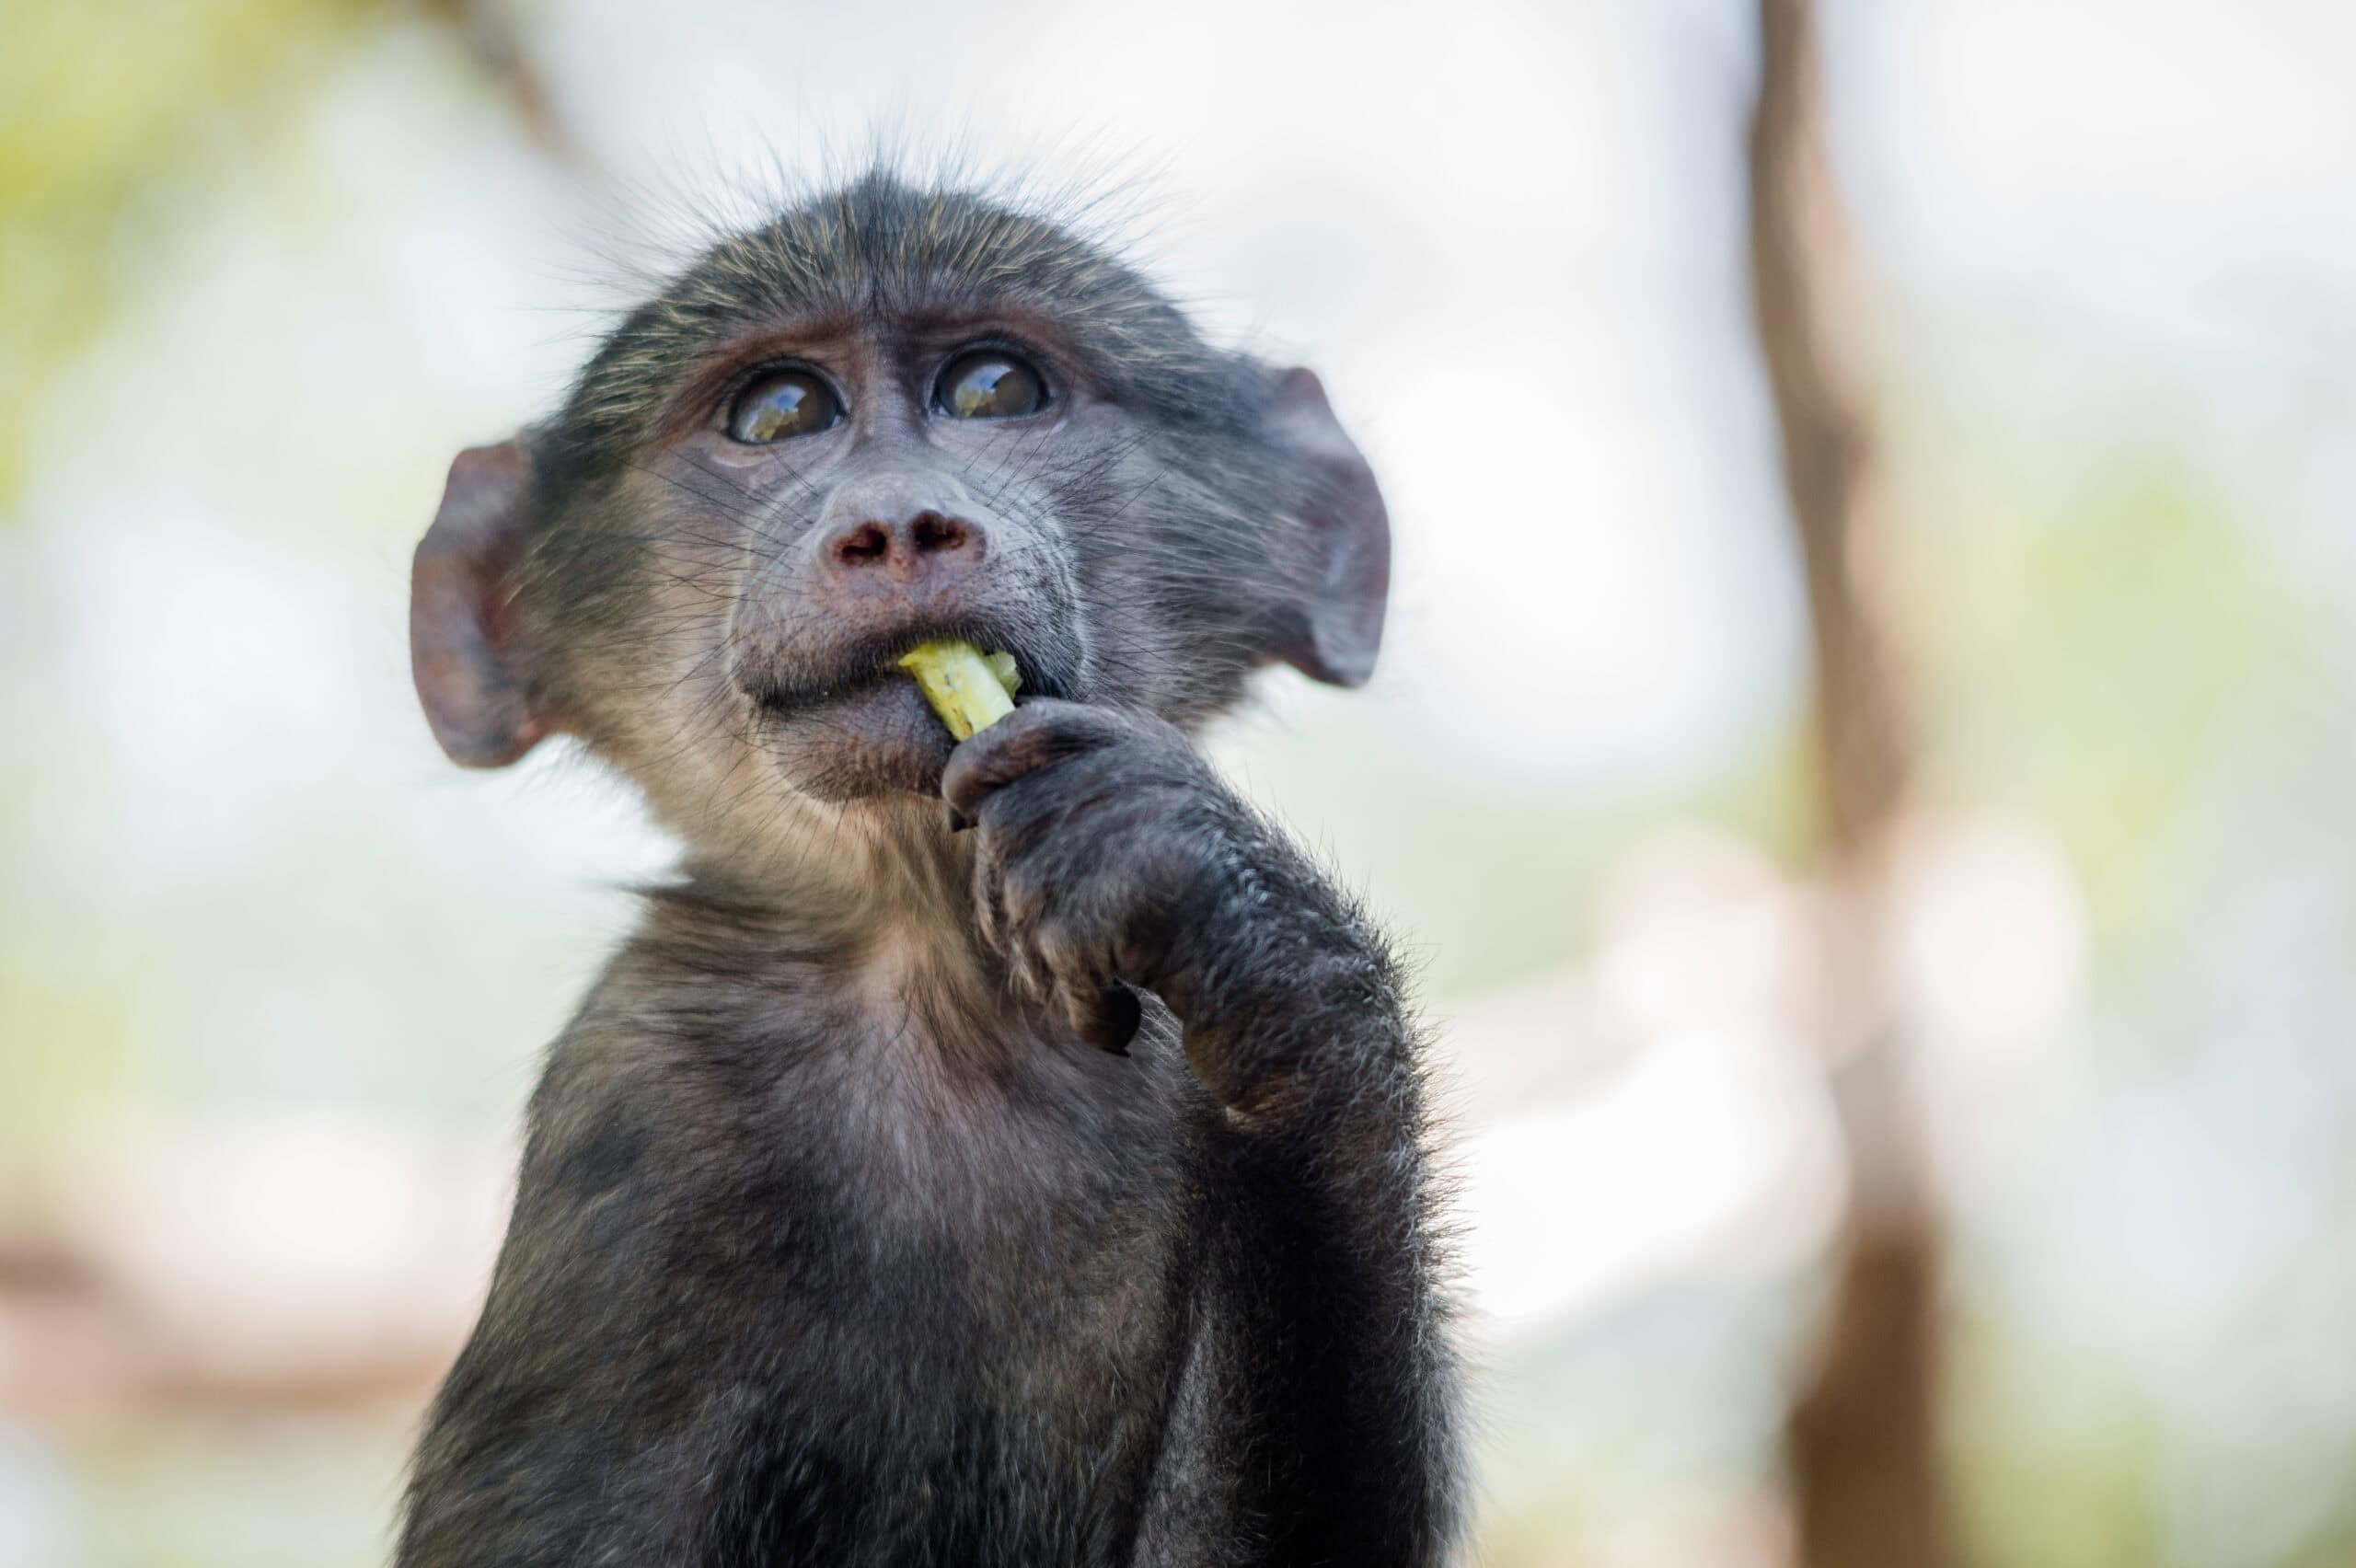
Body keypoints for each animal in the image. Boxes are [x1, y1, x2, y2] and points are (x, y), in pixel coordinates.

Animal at [397, 169, 1465, 1567]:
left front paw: (1239, 928)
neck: (942, 976)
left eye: (995, 390)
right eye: (780, 412)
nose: (899, 524)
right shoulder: (633, 1109)